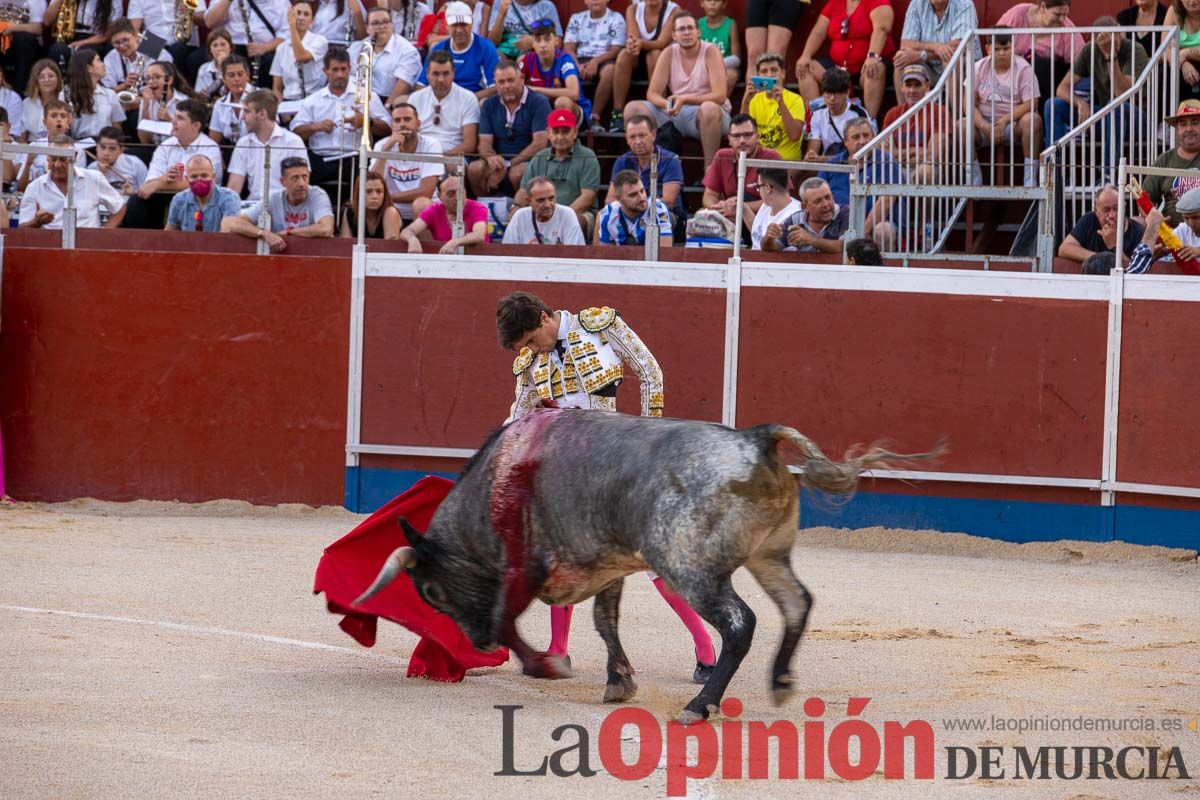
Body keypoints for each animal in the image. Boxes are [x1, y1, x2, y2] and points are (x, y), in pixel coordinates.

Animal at [355, 410, 936, 724]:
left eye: (431, 592)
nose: (474, 642)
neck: (491, 487)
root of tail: (752, 439)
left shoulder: (528, 567)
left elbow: (509, 619)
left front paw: (545, 666)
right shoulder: (607, 567)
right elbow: (604, 621)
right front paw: (619, 683)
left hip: (690, 566)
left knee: (739, 623)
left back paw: (700, 705)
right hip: (768, 554)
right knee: (797, 602)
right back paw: (781, 680)